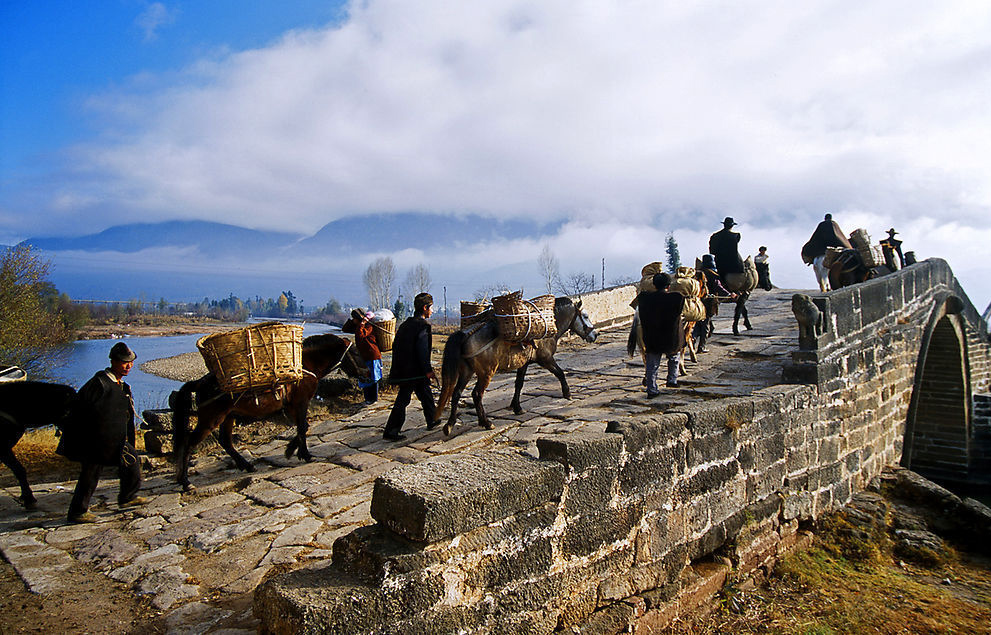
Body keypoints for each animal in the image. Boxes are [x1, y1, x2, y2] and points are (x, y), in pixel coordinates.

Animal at [170, 332, 368, 492]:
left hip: (228, 416)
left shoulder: (293, 405)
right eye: (356, 353)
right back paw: (186, 482)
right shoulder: (301, 402)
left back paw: (246, 466)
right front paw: (304, 454)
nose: (367, 373)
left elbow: (303, 427)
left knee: (225, 441)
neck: (305, 366)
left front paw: (291, 450)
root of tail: (199, 383)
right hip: (211, 418)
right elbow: (302, 427)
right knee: (189, 443)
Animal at [434, 296, 596, 434]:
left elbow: (519, 383)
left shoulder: (524, 363)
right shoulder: (546, 359)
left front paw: (516, 407)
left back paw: (450, 425)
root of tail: (466, 334)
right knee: (476, 394)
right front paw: (567, 393)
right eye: (585, 316)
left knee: (456, 393)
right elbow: (560, 373)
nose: (595, 335)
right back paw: (486, 422)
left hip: (467, 371)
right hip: (486, 373)